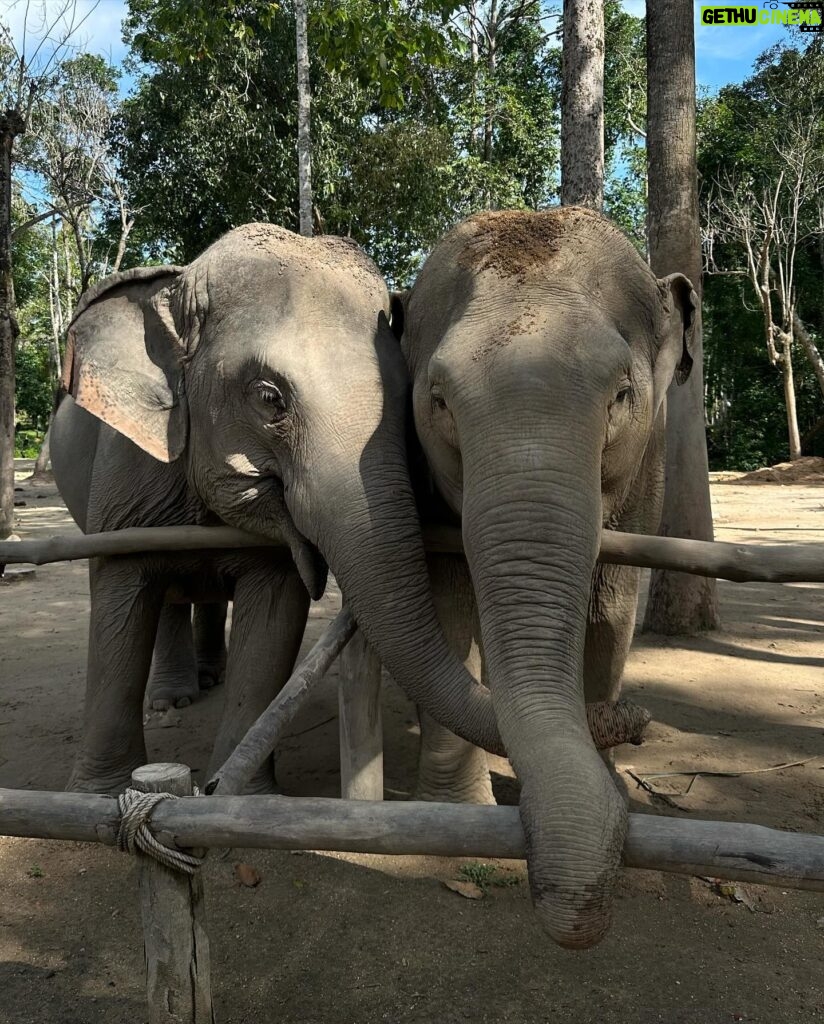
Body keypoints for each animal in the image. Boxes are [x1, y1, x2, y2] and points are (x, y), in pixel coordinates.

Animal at [54, 222, 501, 798]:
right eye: (270, 398)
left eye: (409, 401)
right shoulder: (126, 474)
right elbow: (119, 601)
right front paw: (97, 794)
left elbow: (272, 620)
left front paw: (237, 794)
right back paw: (174, 699)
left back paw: (207, 678)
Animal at [393, 207, 696, 950]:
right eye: (438, 400)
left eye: (622, 393)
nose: (635, 724)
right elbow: (447, 604)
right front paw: (456, 824)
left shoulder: (647, 467)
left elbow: (611, 603)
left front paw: (613, 790)